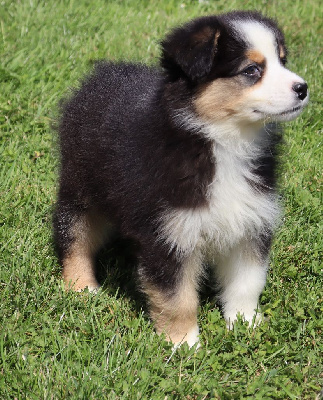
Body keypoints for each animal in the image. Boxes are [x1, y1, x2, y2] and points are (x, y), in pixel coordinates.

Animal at [54, 10, 310, 346]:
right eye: (252, 70)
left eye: (282, 60)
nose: (303, 88)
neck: (223, 142)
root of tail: (96, 78)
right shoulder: (169, 234)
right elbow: (177, 297)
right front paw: (184, 344)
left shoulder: (252, 220)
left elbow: (247, 281)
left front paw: (246, 324)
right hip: (81, 187)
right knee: (73, 235)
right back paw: (82, 288)